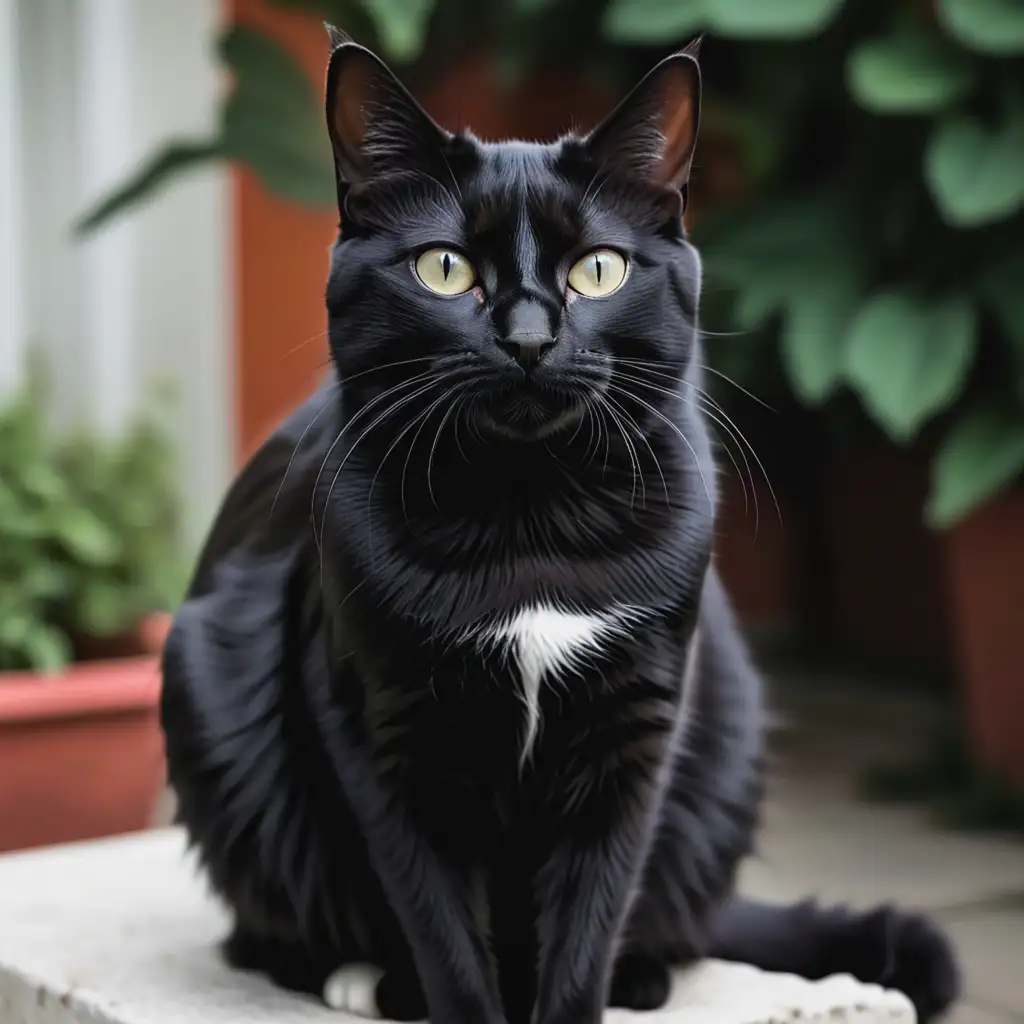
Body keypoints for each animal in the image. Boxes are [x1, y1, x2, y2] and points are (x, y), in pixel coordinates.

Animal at [161, 36, 958, 1024]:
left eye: (598, 270)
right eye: (444, 269)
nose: (530, 337)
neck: (530, 512)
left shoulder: (636, 730)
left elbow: (589, 920)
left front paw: (588, 993)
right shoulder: (381, 724)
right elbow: (442, 931)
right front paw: (445, 994)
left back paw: (641, 977)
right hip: (209, 700)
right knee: (263, 924)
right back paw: (363, 979)